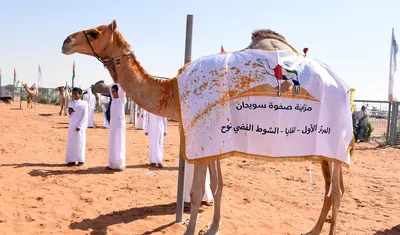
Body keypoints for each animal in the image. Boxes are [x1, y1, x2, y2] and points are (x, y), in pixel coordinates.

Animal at [61, 20, 352, 235]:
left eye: (94, 32)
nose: (66, 41)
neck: (172, 91)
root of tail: (347, 89)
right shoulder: (214, 138)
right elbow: (219, 184)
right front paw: (212, 228)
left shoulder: (201, 136)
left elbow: (197, 189)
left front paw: (190, 230)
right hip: (324, 150)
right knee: (331, 188)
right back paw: (313, 230)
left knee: (337, 191)